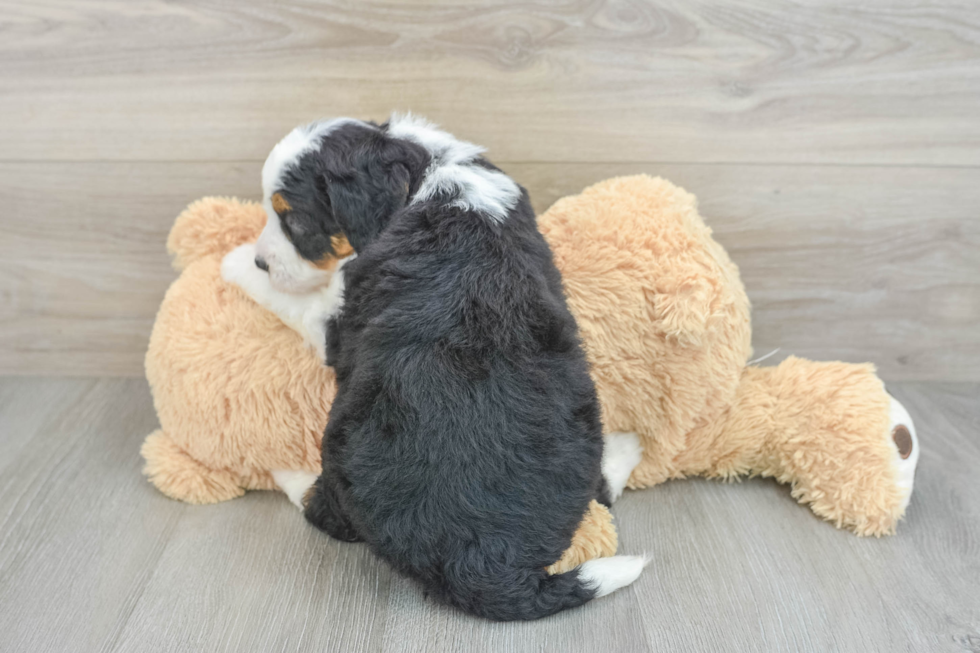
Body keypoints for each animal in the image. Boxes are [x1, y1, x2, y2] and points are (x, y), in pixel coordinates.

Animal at [225, 114, 648, 620]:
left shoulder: (339, 320)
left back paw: (289, 474)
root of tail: (483, 560)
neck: (427, 173)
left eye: (295, 220)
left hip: (343, 446)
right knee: (599, 491)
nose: (260, 260)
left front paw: (233, 261)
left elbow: (295, 301)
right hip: (582, 417)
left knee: (324, 511)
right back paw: (627, 448)